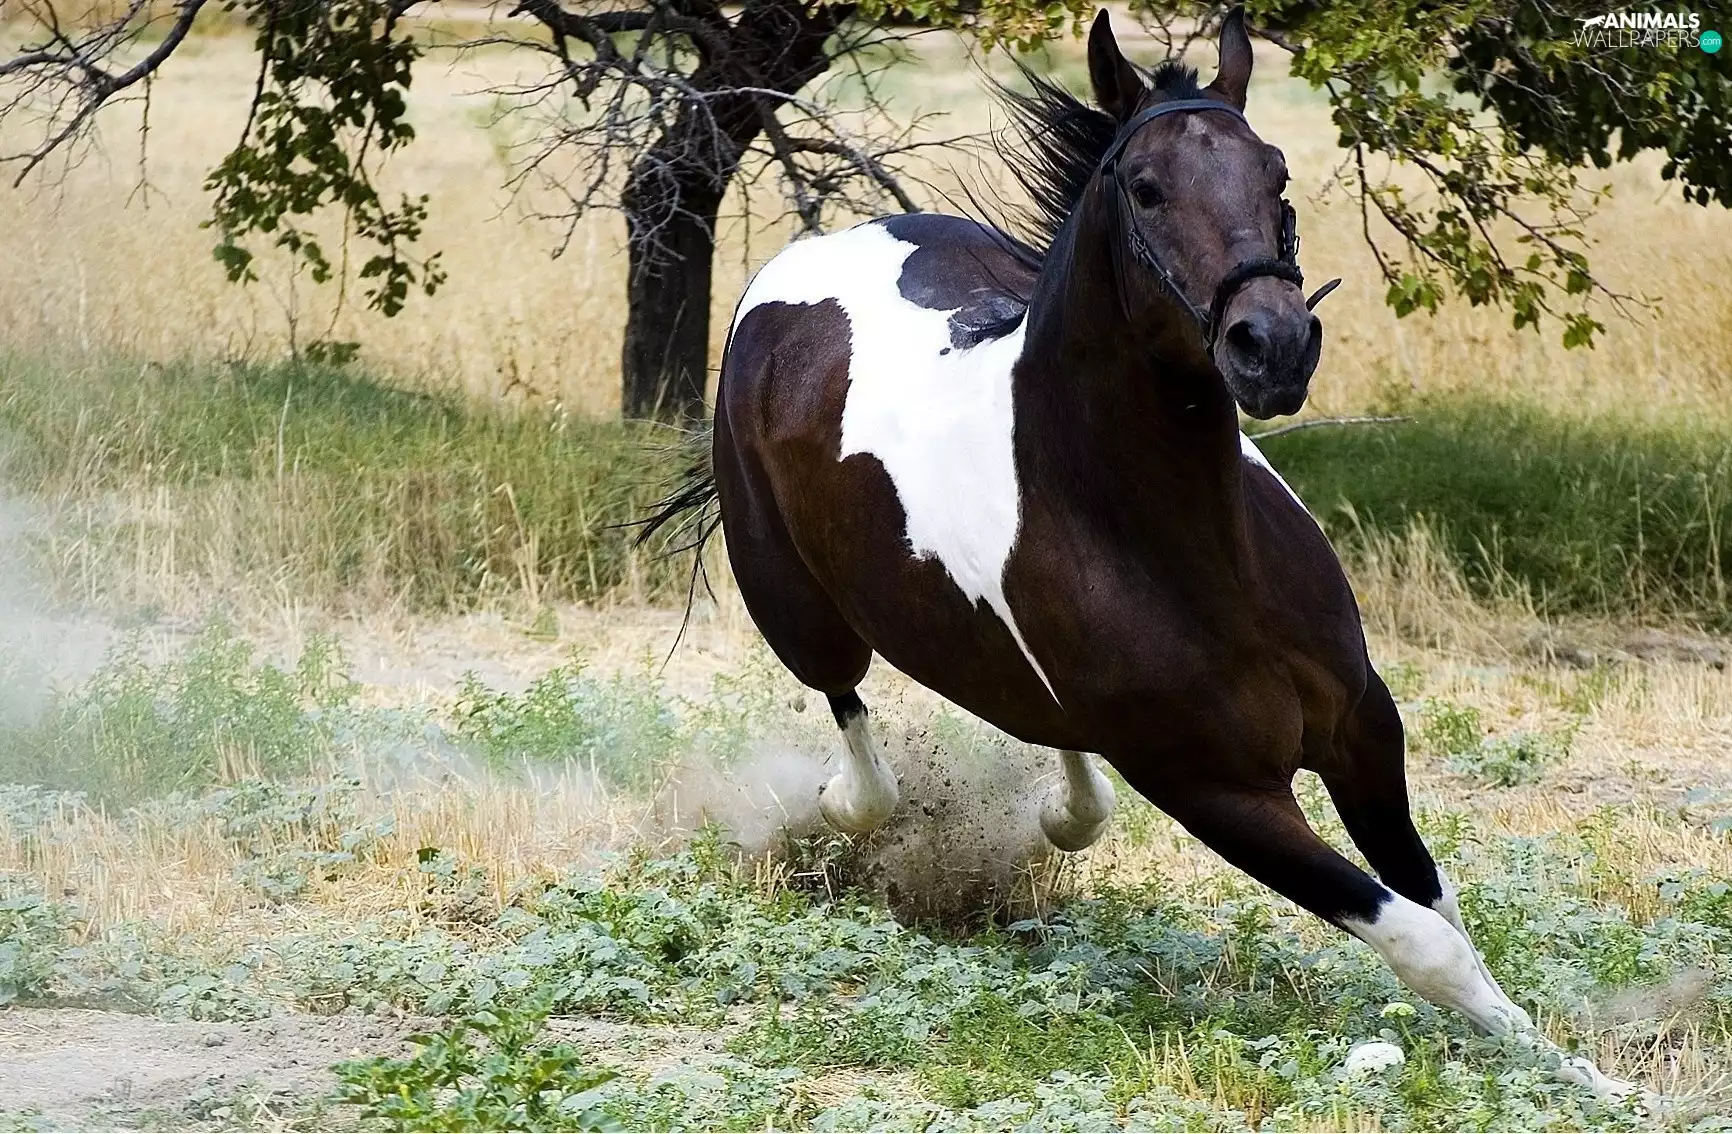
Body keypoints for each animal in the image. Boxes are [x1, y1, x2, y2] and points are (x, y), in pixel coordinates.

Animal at [649, 7, 1632, 1098]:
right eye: (1148, 186)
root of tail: (800, 266)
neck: (1194, 554)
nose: (1271, 346)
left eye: (1275, 173)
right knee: (855, 728)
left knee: (1047, 736)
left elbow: (1437, 900)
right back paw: (844, 805)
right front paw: (1594, 1083)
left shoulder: (1363, 728)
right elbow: (1421, 937)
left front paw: (1566, 1067)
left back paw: (1063, 811)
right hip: (798, 610)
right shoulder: (1212, 788)